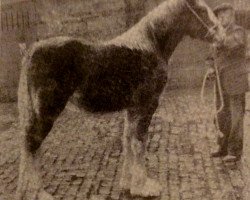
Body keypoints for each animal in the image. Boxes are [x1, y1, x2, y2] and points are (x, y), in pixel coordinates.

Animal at [17, 0, 225, 199]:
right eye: (201, 10)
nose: (221, 37)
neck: (151, 43)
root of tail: (31, 51)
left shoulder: (132, 109)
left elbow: (128, 141)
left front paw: (128, 184)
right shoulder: (146, 106)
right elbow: (139, 143)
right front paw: (144, 188)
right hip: (47, 112)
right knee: (32, 145)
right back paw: (38, 192)